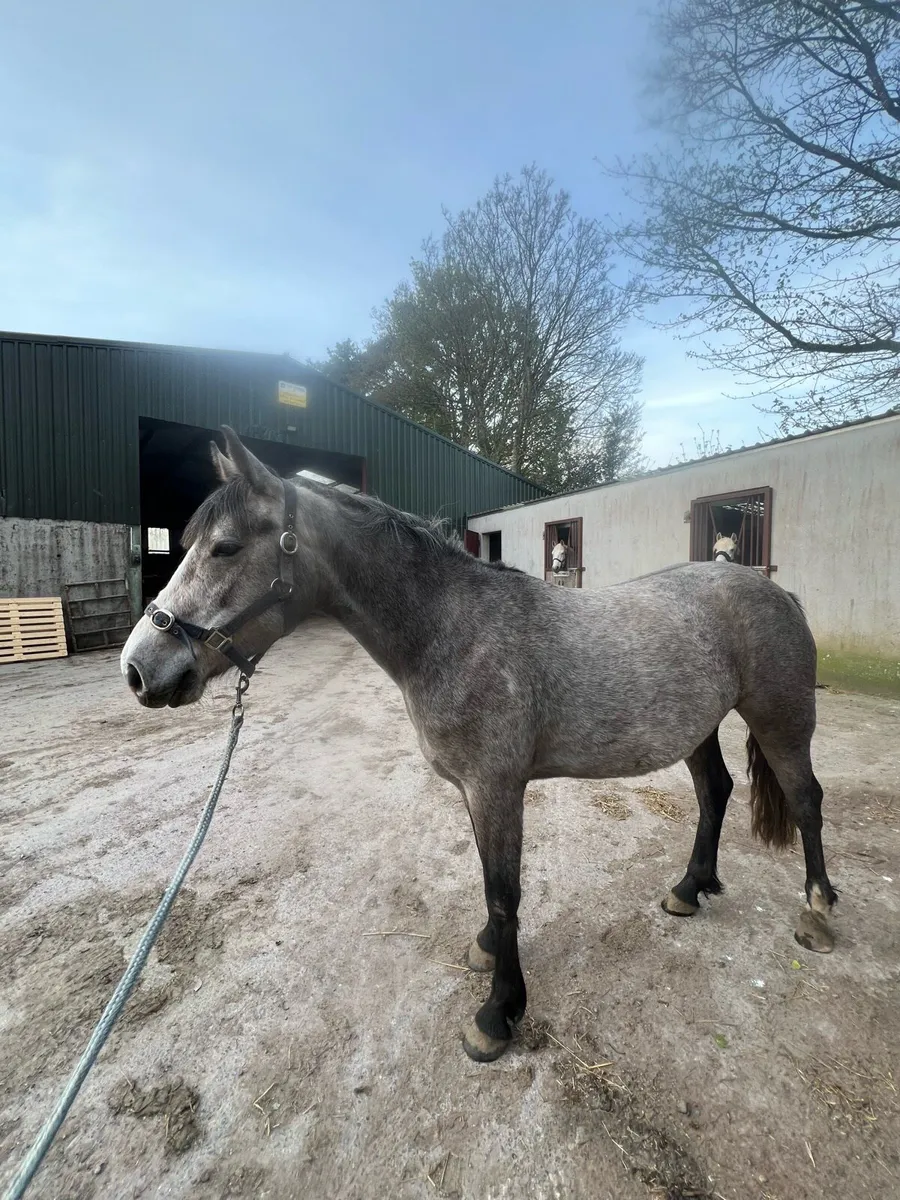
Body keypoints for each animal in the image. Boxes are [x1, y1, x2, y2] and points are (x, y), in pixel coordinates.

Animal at [121, 428, 839, 1063]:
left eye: (225, 547)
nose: (139, 669)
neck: (453, 631)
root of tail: (775, 589)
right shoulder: (475, 789)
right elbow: (489, 882)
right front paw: (489, 950)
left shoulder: (498, 787)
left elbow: (504, 890)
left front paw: (497, 1014)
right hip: (699, 729)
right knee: (715, 792)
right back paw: (689, 889)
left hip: (779, 720)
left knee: (806, 799)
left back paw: (818, 913)